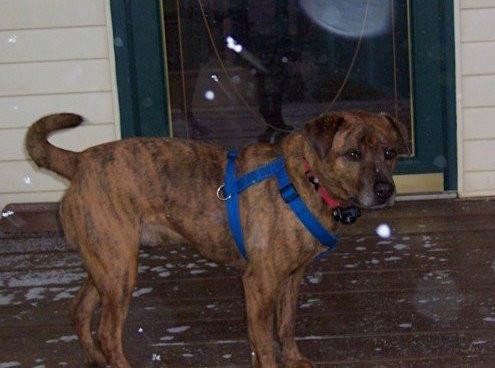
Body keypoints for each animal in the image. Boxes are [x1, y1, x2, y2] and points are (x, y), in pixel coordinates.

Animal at [25, 110, 406, 366]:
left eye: (390, 153)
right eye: (353, 154)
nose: (386, 190)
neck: (306, 179)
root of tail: (80, 160)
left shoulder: (291, 278)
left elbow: (284, 327)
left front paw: (293, 359)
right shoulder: (260, 282)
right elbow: (264, 340)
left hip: (107, 265)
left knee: (78, 309)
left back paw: (95, 359)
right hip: (120, 270)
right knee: (107, 332)